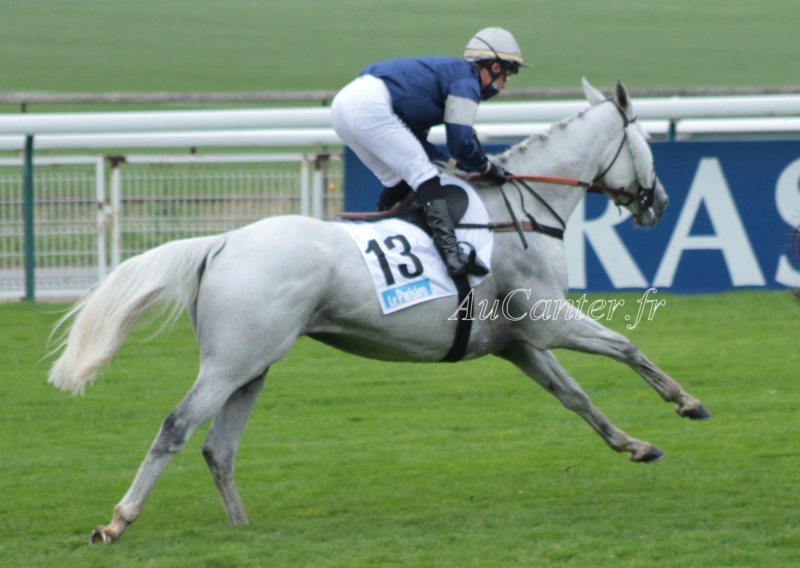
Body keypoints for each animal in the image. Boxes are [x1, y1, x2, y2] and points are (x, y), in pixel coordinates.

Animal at [48, 77, 708, 544]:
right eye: (648, 143)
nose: (659, 202)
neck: (518, 211)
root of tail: (223, 241)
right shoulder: (548, 323)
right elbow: (627, 346)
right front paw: (686, 402)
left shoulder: (516, 343)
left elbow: (576, 398)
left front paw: (634, 444)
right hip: (230, 362)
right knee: (177, 429)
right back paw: (117, 521)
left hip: (251, 365)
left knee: (218, 447)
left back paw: (241, 527)